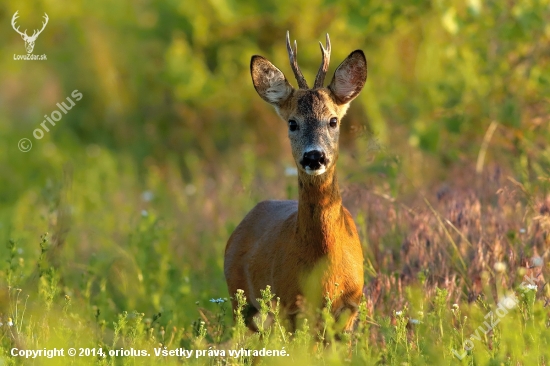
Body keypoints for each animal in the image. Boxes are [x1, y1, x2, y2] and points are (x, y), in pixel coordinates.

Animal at [224, 32, 366, 332]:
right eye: (292, 123)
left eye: (333, 120)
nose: (314, 156)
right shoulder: (290, 307)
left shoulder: (350, 307)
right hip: (241, 301)